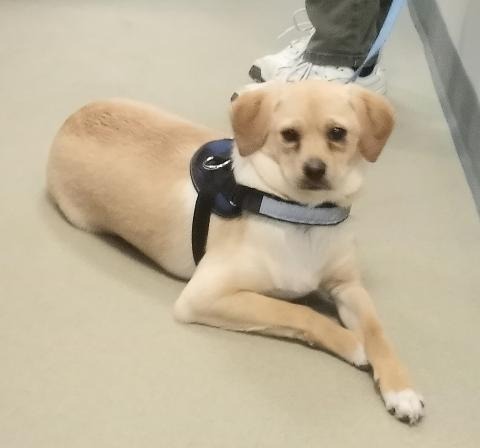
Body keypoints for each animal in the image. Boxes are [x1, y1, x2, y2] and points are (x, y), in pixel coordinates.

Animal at [47, 80, 424, 424]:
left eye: (337, 133)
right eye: (289, 134)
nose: (315, 170)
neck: (302, 218)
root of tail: (72, 118)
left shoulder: (348, 286)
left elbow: (378, 332)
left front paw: (401, 388)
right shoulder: (204, 295)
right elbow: (298, 313)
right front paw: (351, 343)